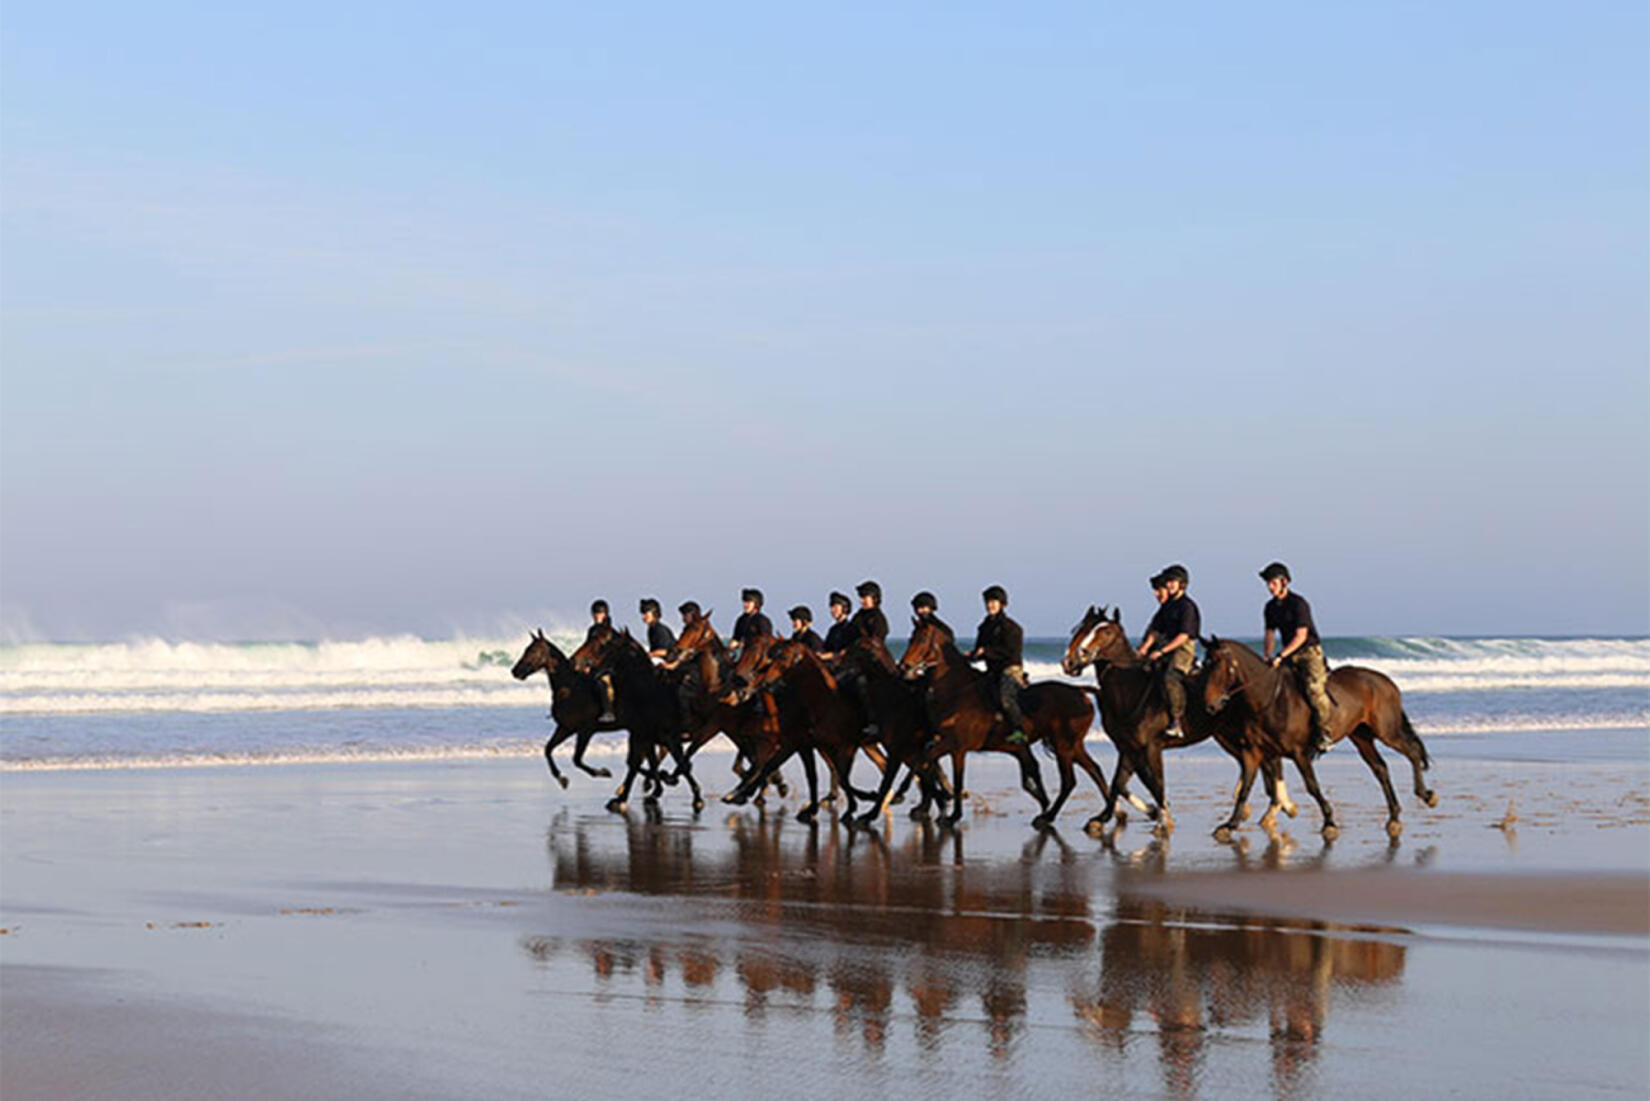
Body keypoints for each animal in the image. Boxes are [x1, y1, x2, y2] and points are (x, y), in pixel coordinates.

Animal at [508, 627, 623, 792]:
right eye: (526, 649)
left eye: (533, 651)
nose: (515, 671)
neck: (569, 688)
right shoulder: (566, 727)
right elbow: (548, 749)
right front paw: (561, 778)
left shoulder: (586, 730)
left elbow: (576, 760)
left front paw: (602, 772)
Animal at [891, 620, 1108, 825]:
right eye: (910, 638)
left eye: (921, 639)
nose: (903, 666)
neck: (956, 691)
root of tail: (1081, 692)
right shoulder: (943, 742)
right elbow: (922, 759)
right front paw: (902, 793)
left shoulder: (957, 747)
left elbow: (952, 776)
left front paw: (953, 815)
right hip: (1073, 746)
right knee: (1095, 770)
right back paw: (1105, 814)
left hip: (1063, 746)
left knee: (1069, 781)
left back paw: (1050, 816)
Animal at [1056, 607, 1300, 838]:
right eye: (1080, 629)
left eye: (1106, 632)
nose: (1070, 661)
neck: (1131, 689)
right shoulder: (1128, 747)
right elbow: (1119, 783)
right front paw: (1104, 818)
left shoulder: (1151, 747)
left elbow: (1155, 781)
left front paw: (1163, 818)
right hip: (1227, 737)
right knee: (1259, 763)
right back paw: (1272, 808)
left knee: (1270, 763)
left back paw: (1279, 807)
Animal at [1194, 633, 1438, 838]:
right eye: (1205, 664)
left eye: (1218, 665)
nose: (1210, 706)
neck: (1268, 700)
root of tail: (1387, 681)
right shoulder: (1253, 753)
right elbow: (1245, 789)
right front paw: (1229, 825)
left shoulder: (1299, 752)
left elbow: (1312, 786)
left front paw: (1329, 822)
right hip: (1361, 736)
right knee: (1381, 769)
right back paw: (1394, 816)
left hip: (1386, 730)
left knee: (1412, 751)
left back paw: (1425, 795)